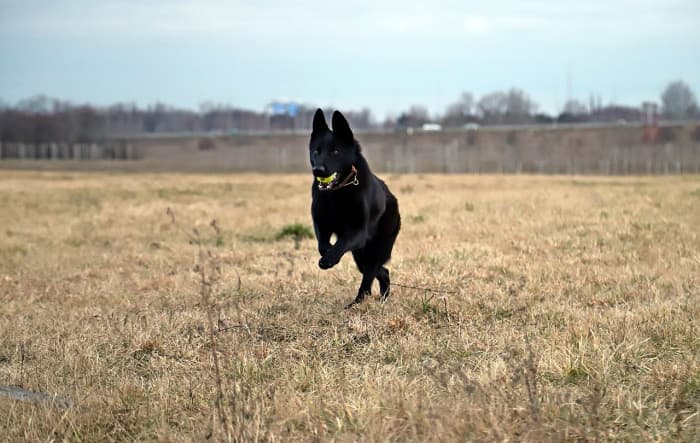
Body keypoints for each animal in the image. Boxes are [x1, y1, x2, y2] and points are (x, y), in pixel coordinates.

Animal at [310, 109, 402, 306]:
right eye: (316, 151)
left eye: (335, 151)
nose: (318, 170)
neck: (338, 192)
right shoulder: (321, 224)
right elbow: (323, 244)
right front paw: (328, 253)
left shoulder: (357, 231)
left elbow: (341, 243)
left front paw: (329, 259)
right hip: (360, 255)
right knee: (382, 272)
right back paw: (381, 299)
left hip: (373, 249)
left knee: (369, 276)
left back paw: (357, 303)